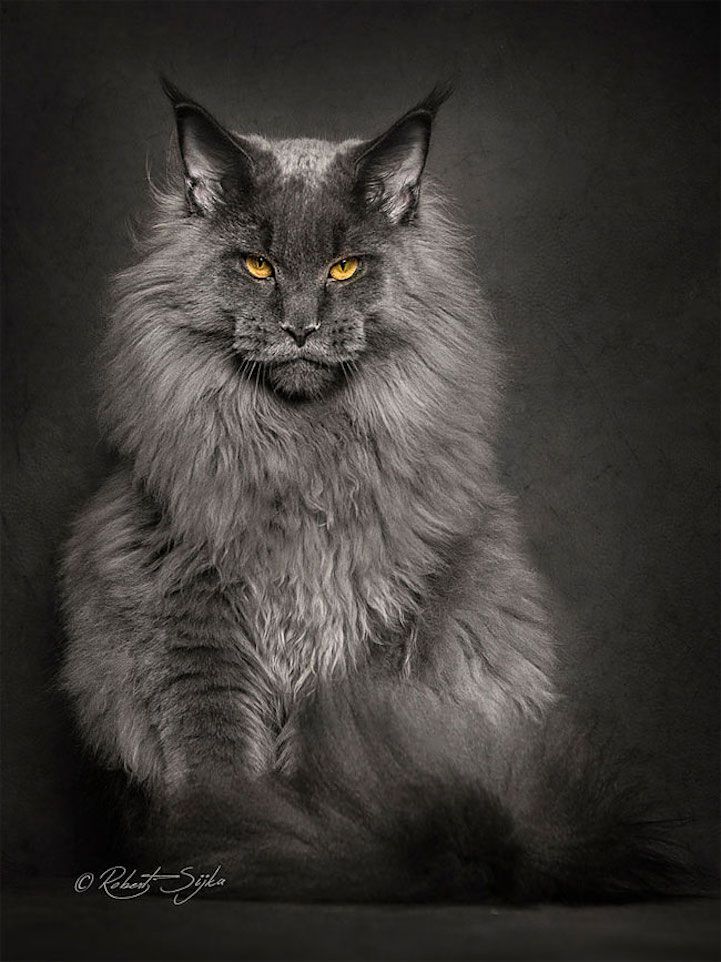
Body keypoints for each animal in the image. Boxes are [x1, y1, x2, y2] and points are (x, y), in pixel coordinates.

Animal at [59, 82, 688, 900]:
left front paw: (300, 842)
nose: (298, 328)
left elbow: (340, 755)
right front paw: (225, 837)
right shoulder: (189, 621)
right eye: (257, 266)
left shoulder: (377, 625)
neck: (302, 459)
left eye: (345, 268)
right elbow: (216, 758)